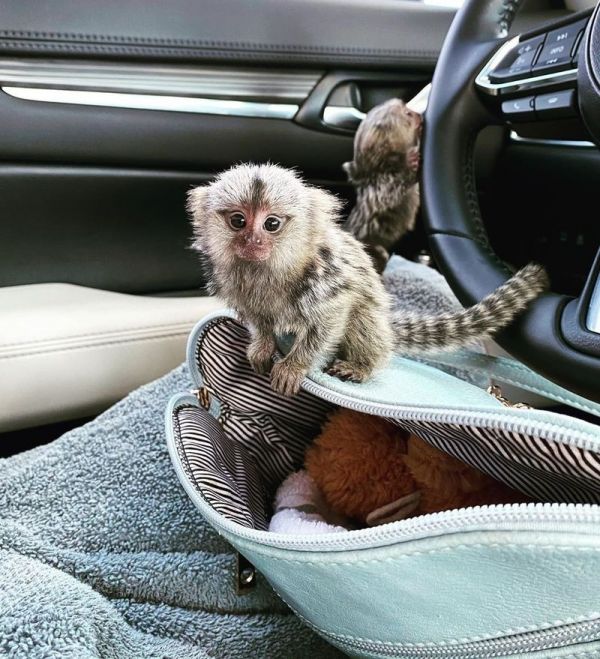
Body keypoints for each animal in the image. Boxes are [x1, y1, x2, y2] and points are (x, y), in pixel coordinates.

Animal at [188, 163, 548, 397]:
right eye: (238, 221)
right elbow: (259, 320)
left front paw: (294, 366)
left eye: (272, 224)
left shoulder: (326, 282)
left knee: (362, 322)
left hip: (372, 322)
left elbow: (329, 322)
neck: (269, 270)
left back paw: (361, 366)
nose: (252, 241)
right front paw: (262, 346)